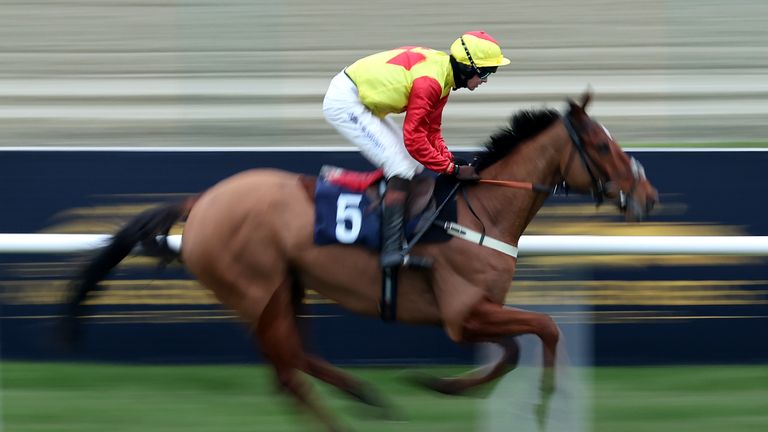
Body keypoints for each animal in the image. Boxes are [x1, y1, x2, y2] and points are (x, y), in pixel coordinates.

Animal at [61, 92, 660, 432]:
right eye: (601, 146)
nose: (648, 196)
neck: (480, 210)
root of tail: (203, 200)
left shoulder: (473, 313)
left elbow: (514, 350)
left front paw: (439, 385)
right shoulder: (462, 312)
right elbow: (546, 328)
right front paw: (542, 404)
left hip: (288, 285)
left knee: (296, 360)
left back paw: (369, 397)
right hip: (259, 288)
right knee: (287, 374)